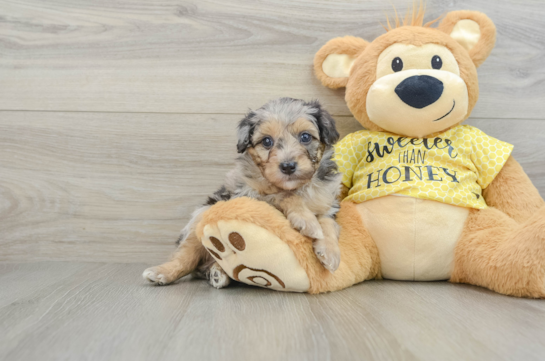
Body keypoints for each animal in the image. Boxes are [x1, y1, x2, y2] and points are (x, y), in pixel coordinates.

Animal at [142, 97, 342, 288]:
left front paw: (330, 253)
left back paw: (218, 273)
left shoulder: (328, 202)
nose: (287, 166)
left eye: (305, 137)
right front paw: (307, 220)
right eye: (267, 141)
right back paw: (163, 272)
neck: (297, 187)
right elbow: (284, 195)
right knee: (187, 255)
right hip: (199, 220)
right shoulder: (249, 196)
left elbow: (328, 223)